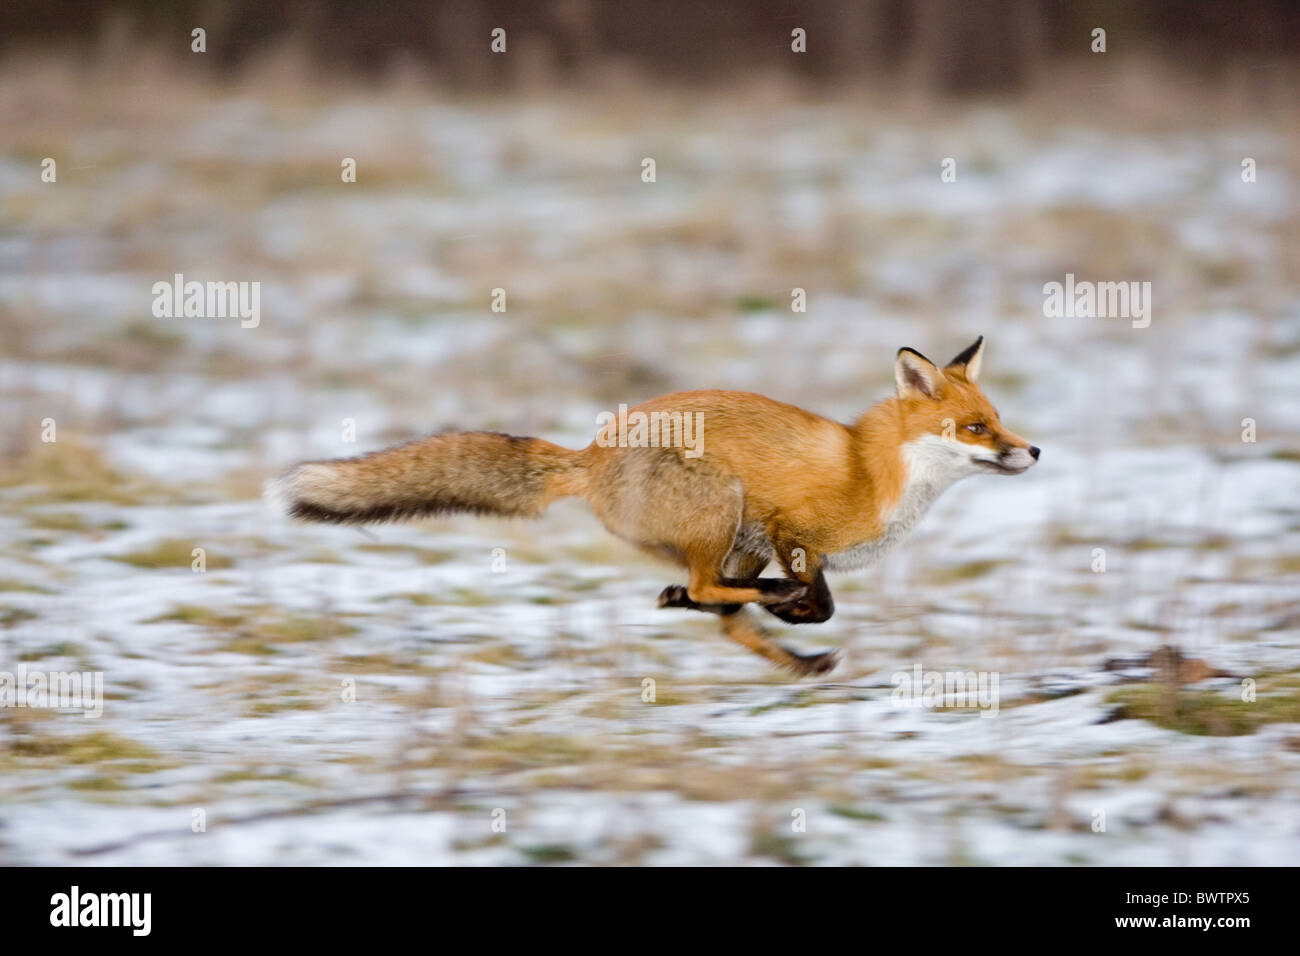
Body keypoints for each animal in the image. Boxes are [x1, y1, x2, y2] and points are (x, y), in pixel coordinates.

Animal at [271, 340, 1034, 676]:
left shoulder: (778, 541)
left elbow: (798, 604)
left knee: (720, 610)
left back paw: (781, 650)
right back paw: (746, 609)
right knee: (712, 592)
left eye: (997, 420)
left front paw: (788, 624)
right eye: (976, 429)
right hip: (723, 507)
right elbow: (819, 598)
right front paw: (793, 607)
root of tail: (590, 453)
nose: (1032, 451)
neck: (874, 474)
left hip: (734, 536)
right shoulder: (788, 529)